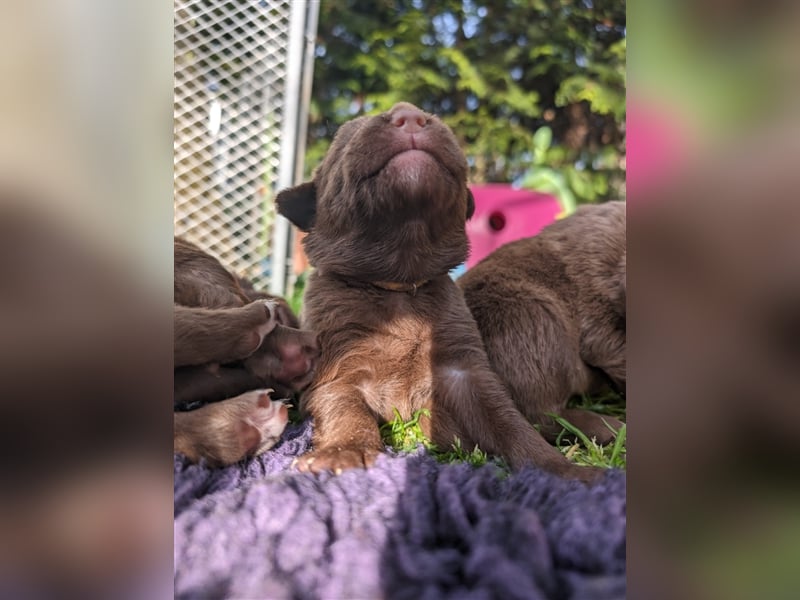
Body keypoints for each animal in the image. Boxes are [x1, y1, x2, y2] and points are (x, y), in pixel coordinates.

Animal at [278, 101, 596, 480]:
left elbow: (509, 420)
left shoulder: (467, 370)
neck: (399, 287)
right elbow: (344, 405)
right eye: (348, 136)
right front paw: (346, 452)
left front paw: (560, 469)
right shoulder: (336, 365)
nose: (410, 115)